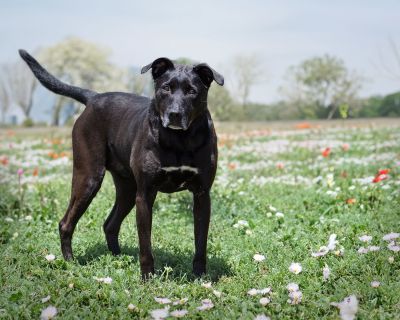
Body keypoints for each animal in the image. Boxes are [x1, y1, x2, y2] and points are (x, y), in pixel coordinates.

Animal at [19, 48, 225, 278]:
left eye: (192, 91)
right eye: (166, 88)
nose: (174, 114)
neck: (180, 139)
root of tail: (94, 97)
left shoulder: (202, 195)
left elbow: (201, 242)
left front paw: (200, 276)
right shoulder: (145, 195)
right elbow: (145, 244)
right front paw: (147, 278)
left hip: (127, 189)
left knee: (110, 224)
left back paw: (118, 258)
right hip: (89, 178)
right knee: (66, 223)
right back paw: (70, 262)